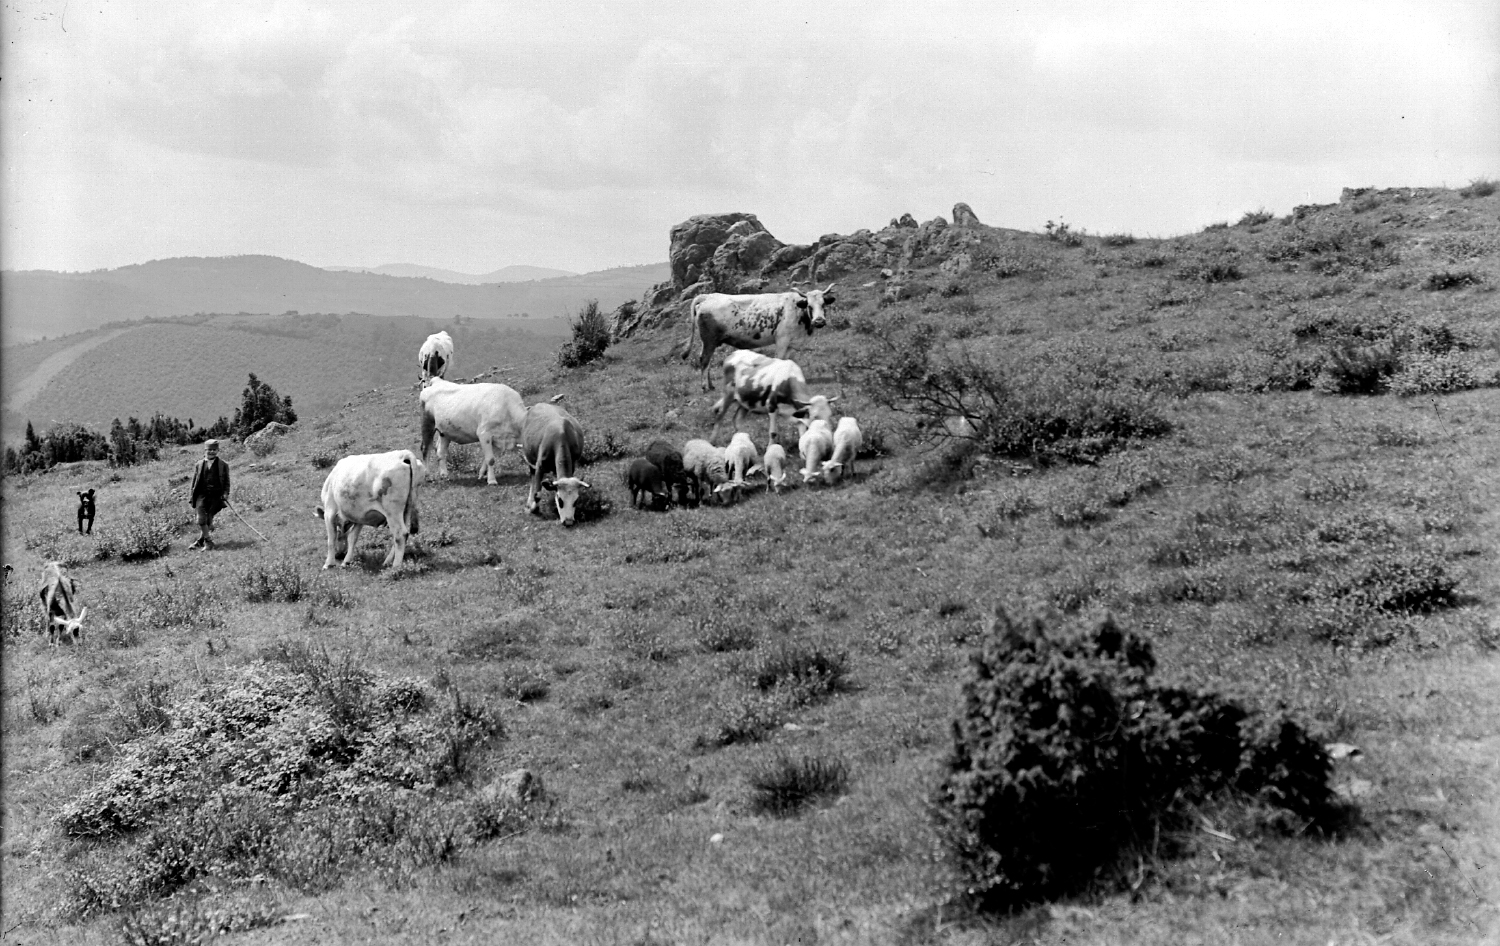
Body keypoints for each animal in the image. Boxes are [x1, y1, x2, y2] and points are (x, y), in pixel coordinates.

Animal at [687, 289, 840, 392]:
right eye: (809, 306)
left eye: (823, 305)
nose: (819, 321)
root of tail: (708, 296)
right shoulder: (782, 340)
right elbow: (779, 360)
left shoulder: (791, 344)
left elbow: (789, 361)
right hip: (709, 340)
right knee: (704, 360)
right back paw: (704, 387)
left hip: (710, 342)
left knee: (708, 361)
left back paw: (711, 385)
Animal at [711, 353, 840, 446]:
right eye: (815, 417)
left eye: (830, 415)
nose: (828, 434)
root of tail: (732, 354)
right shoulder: (771, 406)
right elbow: (773, 433)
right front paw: (770, 448)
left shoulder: (795, 414)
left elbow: (802, 430)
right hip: (728, 394)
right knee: (719, 416)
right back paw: (712, 442)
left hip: (745, 401)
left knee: (737, 420)